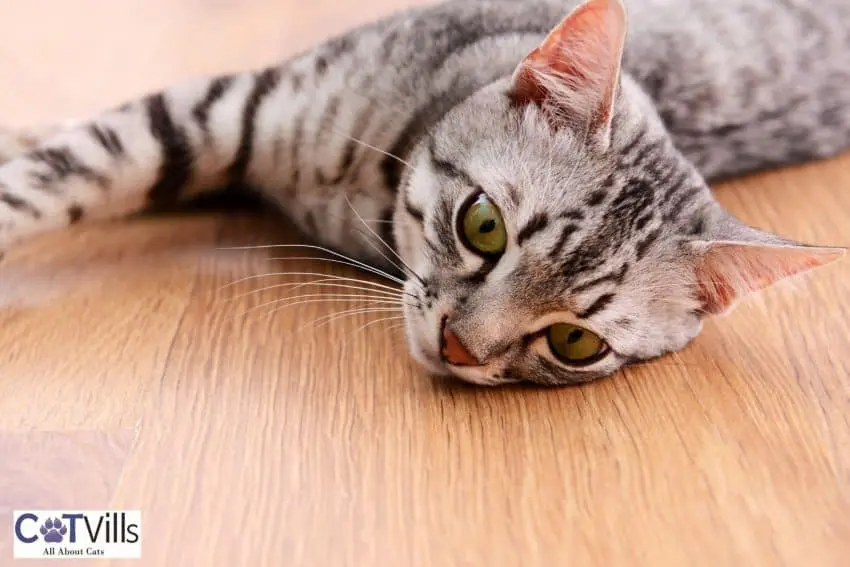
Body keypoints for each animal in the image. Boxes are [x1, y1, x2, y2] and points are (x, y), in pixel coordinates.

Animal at [1, 0, 848, 386]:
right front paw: (26, 138)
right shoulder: (228, 108)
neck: (361, 197)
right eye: (484, 226)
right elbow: (66, 166)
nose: (458, 349)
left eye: (577, 342)